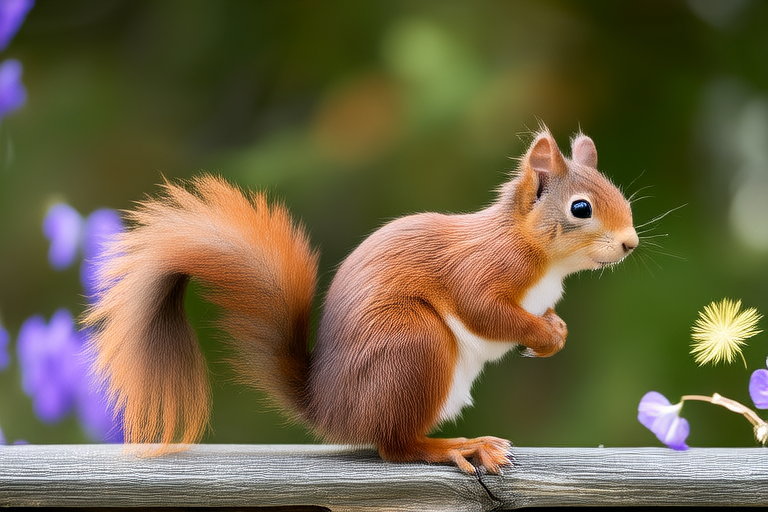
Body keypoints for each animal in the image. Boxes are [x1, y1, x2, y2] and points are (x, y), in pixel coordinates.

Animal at [84, 126, 638, 474]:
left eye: (621, 198)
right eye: (581, 208)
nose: (631, 243)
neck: (538, 254)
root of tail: (329, 408)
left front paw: (556, 332)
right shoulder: (484, 271)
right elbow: (487, 311)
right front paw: (541, 333)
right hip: (416, 345)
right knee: (396, 447)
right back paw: (460, 447)